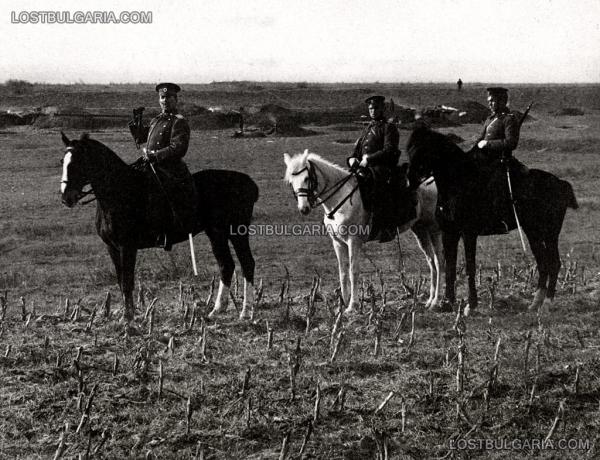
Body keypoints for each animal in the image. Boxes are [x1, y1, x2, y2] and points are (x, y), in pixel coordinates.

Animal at [59, 131, 258, 322]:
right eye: (63, 161)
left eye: (78, 162)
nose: (66, 197)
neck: (121, 191)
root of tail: (248, 181)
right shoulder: (112, 248)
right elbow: (120, 281)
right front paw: (126, 313)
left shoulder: (127, 247)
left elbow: (127, 281)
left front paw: (128, 317)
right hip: (216, 234)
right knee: (226, 265)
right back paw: (217, 310)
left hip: (237, 233)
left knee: (247, 263)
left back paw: (246, 312)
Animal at [284, 151, 442, 312]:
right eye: (291, 182)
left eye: (306, 178)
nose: (304, 209)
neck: (341, 199)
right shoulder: (338, 243)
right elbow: (343, 272)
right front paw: (343, 304)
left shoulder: (353, 241)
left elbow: (353, 271)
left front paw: (352, 306)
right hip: (420, 229)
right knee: (431, 261)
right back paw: (430, 300)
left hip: (434, 229)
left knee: (439, 261)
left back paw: (436, 301)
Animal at [406, 126, 580, 312]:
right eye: (409, 151)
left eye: (422, 151)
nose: (409, 182)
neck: (459, 182)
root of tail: (560, 182)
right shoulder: (449, 233)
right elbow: (450, 267)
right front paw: (447, 303)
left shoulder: (468, 233)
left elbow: (470, 267)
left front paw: (471, 305)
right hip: (534, 232)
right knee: (544, 263)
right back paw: (536, 303)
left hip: (548, 233)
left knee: (553, 263)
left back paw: (547, 301)